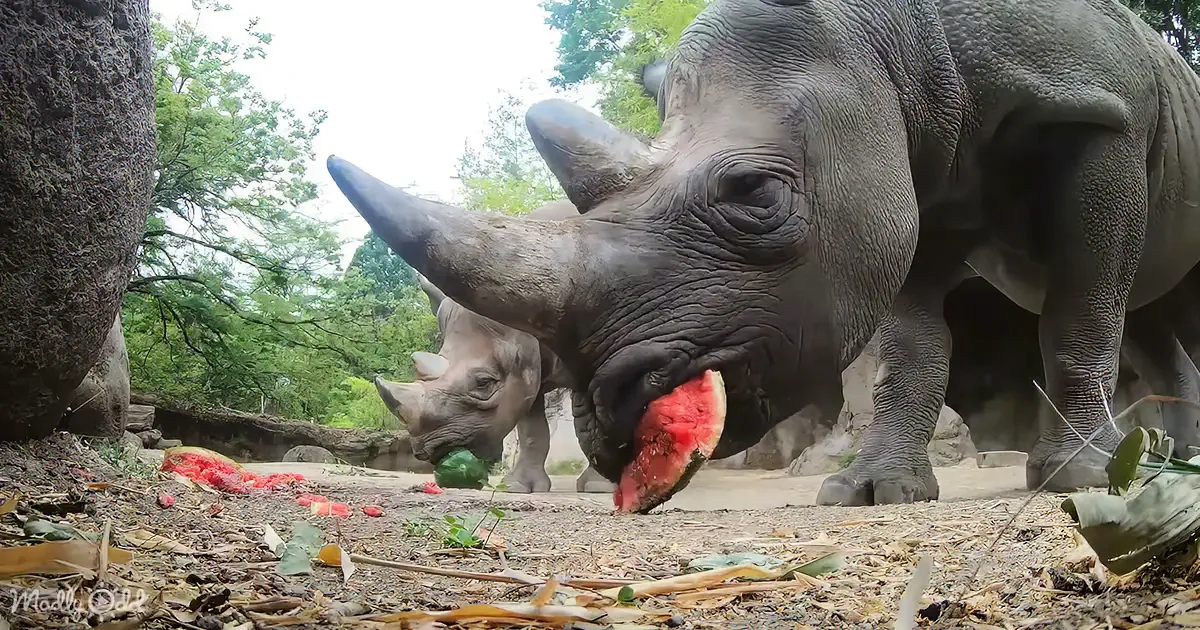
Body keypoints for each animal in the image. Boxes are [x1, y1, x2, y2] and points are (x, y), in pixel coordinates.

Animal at [373, 200, 616, 494]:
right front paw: (518, 487)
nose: (428, 451)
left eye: (484, 383)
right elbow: (532, 429)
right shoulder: (529, 363)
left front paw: (599, 487)